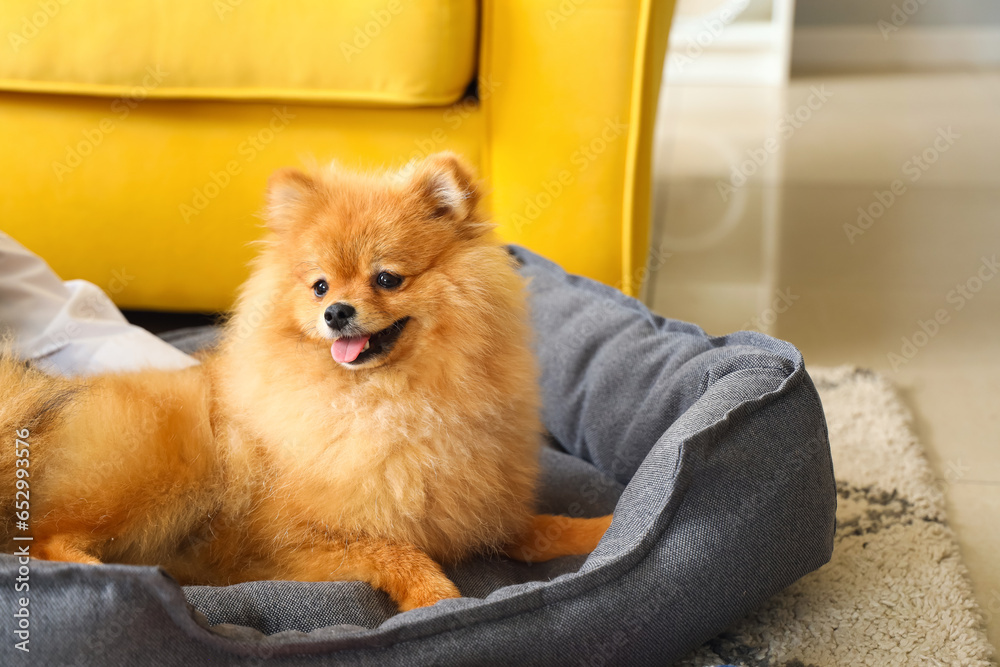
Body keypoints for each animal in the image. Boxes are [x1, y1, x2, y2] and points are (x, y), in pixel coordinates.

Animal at [0, 154, 612, 612]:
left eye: (386, 278)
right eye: (319, 286)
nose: (336, 312)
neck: (392, 402)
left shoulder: (477, 507)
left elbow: (538, 528)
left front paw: (601, 527)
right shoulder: (297, 543)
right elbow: (401, 553)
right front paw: (438, 599)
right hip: (157, 467)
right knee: (47, 538)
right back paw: (121, 577)